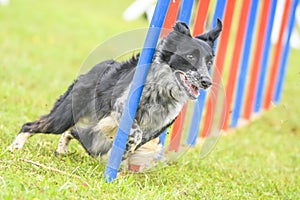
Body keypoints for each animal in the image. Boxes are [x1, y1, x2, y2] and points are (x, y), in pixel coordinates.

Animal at [8, 18, 221, 166]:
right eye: (190, 57)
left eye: (209, 62)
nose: (206, 82)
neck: (161, 92)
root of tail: (97, 67)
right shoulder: (120, 107)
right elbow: (134, 134)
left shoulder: (156, 127)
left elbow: (137, 143)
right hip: (63, 116)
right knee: (33, 125)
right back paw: (15, 148)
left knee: (75, 132)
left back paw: (61, 150)